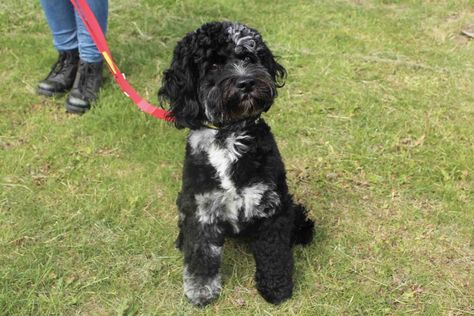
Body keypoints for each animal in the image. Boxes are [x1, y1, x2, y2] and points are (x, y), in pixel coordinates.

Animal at [158, 21, 314, 306]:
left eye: (249, 57)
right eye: (213, 65)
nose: (246, 82)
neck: (229, 133)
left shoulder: (271, 204)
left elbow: (274, 253)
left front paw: (277, 288)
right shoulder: (201, 206)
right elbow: (201, 256)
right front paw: (201, 292)